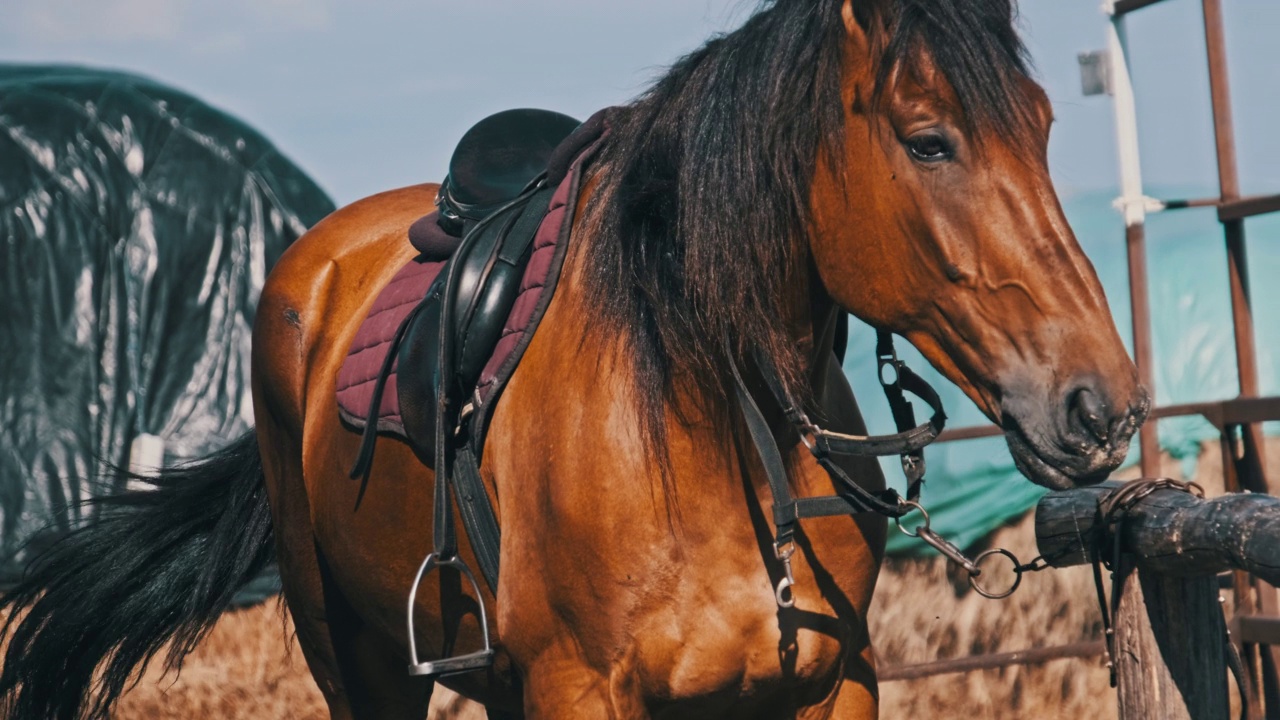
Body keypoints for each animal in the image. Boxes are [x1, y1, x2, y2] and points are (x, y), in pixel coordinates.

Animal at [0, 0, 1141, 712]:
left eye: (1042, 127)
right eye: (927, 140)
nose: (1099, 407)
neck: (702, 427)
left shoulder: (827, 685)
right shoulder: (578, 691)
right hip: (355, 659)